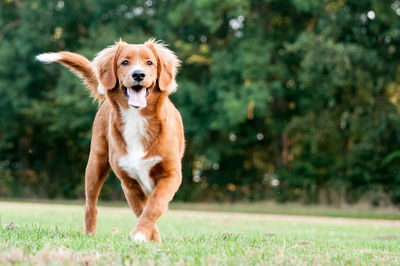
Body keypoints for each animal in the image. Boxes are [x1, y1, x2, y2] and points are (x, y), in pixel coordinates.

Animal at [36, 39, 184, 243]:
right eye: (125, 62)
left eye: (149, 62)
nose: (138, 74)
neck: (137, 119)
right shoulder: (129, 182)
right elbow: (142, 210)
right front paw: (148, 237)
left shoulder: (171, 174)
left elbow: (155, 205)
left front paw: (142, 235)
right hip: (95, 164)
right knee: (90, 204)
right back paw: (90, 234)